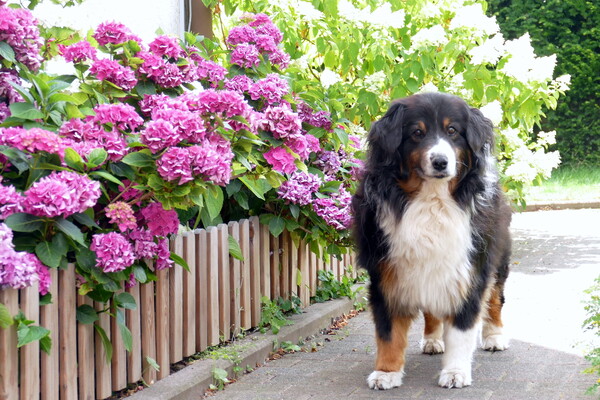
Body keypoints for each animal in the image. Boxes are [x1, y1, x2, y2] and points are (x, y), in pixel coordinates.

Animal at [352, 92, 510, 390]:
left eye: (453, 131)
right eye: (417, 133)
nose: (440, 161)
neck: (432, 200)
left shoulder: (470, 270)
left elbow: (462, 327)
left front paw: (456, 371)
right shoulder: (385, 272)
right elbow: (389, 331)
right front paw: (386, 372)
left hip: (498, 257)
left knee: (496, 296)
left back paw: (495, 335)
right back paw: (433, 340)